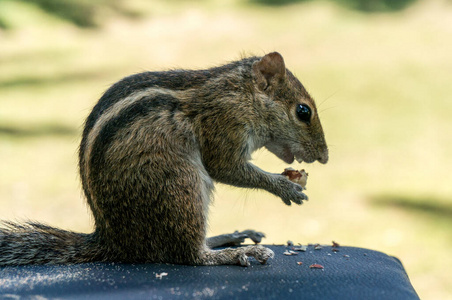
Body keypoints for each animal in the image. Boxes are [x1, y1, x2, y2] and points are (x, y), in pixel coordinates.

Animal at [0, 52, 326, 268]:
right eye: (303, 111)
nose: (324, 157)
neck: (240, 94)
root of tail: (115, 240)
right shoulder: (224, 124)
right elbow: (225, 167)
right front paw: (285, 187)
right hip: (180, 186)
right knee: (189, 254)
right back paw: (233, 254)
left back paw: (229, 237)